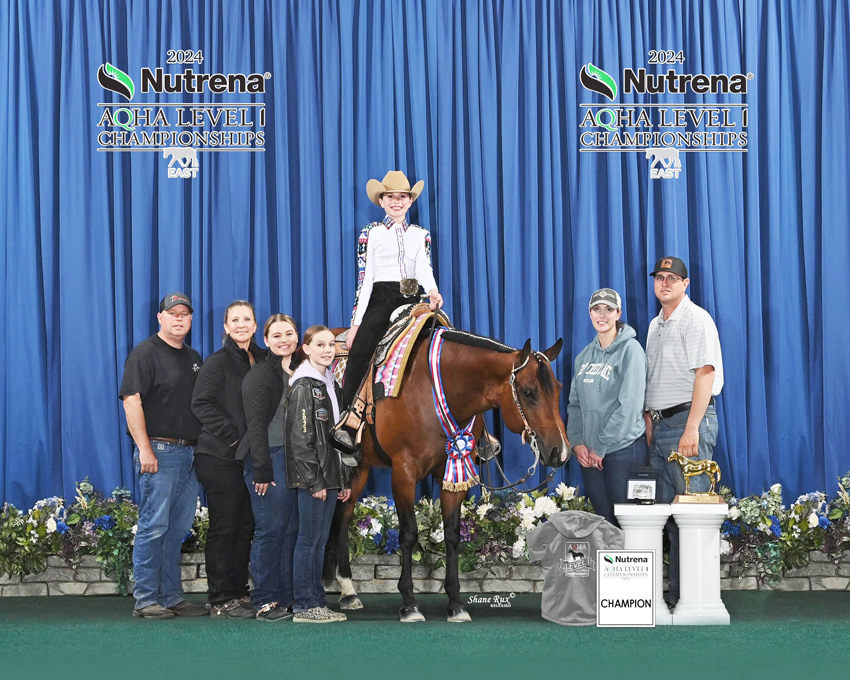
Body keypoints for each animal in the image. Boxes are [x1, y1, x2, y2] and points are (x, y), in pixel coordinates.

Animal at [325, 328, 570, 622]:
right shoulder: (404, 472)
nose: (560, 452)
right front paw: (409, 603)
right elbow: (408, 533)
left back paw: (345, 588)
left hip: (359, 468)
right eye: (528, 392)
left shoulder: (453, 472)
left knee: (343, 513)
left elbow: (452, 534)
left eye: (557, 389)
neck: (434, 390)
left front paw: (455, 602)